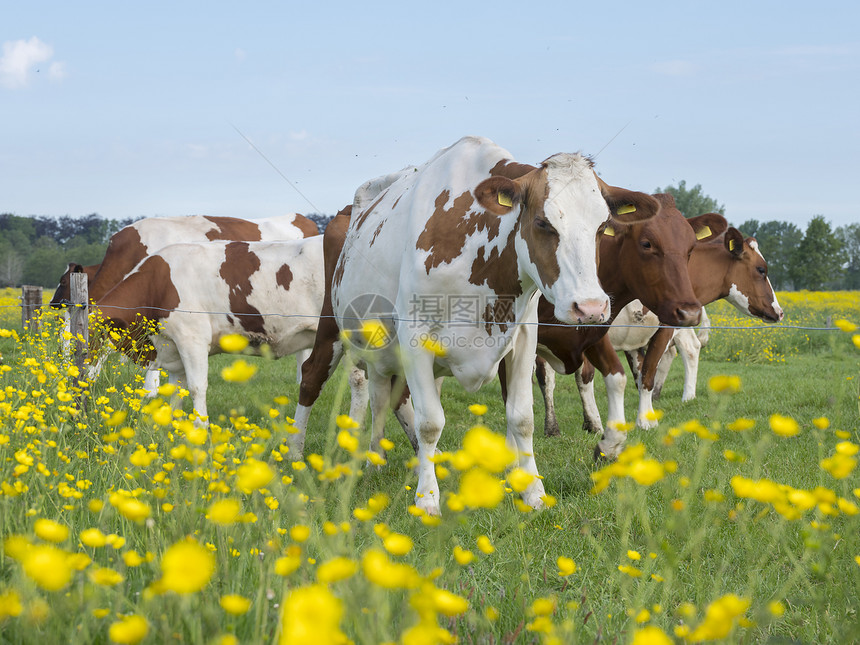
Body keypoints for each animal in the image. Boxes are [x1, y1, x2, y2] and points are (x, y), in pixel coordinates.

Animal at [90, 234, 346, 420]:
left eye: (92, 338)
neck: (159, 284)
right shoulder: (174, 348)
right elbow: (177, 391)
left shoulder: (192, 339)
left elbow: (196, 387)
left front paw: (200, 428)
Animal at [330, 136, 660, 512]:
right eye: (543, 223)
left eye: (602, 226)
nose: (590, 307)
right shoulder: (414, 339)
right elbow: (430, 422)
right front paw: (427, 498)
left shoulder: (524, 338)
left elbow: (521, 417)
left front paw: (533, 492)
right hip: (374, 354)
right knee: (380, 400)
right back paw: (374, 460)